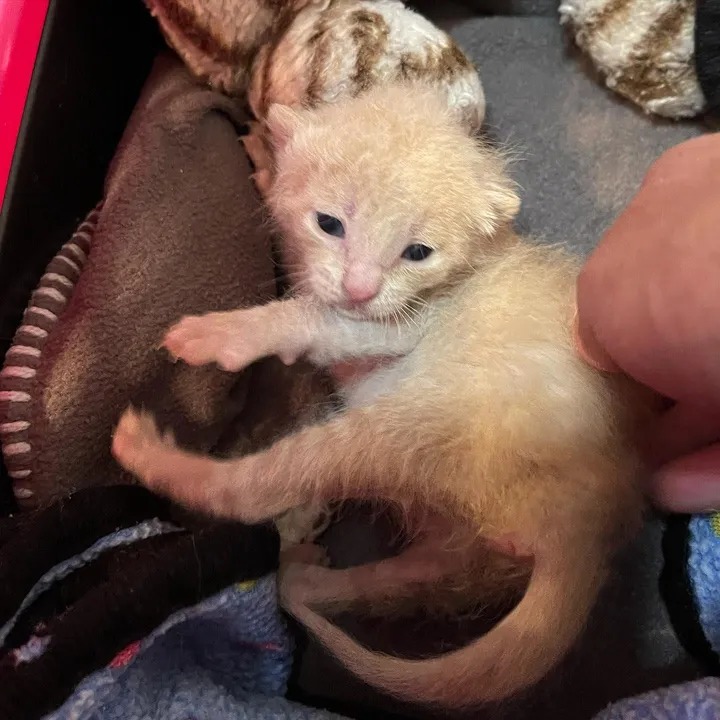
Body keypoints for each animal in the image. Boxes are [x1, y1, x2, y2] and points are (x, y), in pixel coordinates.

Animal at [111, 86, 652, 708]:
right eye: (329, 223)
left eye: (418, 252)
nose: (360, 289)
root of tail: (586, 530)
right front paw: (265, 151)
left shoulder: (396, 326)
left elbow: (310, 318)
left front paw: (228, 334)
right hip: (456, 555)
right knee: (393, 580)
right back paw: (306, 573)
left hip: (413, 429)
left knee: (254, 489)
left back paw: (147, 450)